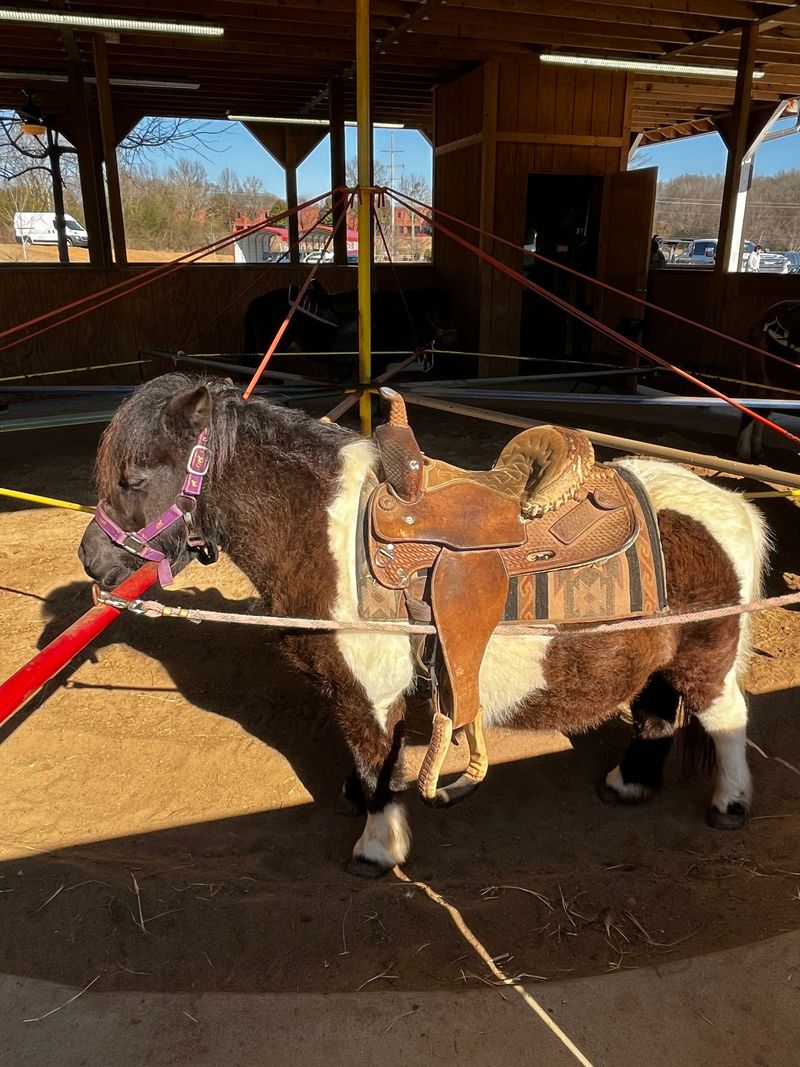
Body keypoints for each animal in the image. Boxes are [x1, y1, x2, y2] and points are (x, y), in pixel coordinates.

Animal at [79, 374, 769, 878]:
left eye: (135, 478)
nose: (93, 560)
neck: (323, 534)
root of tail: (735, 506)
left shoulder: (369, 691)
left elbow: (376, 761)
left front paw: (376, 847)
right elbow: (366, 760)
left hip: (708, 652)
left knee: (727, 715)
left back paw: (731, 803)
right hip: (657, 653)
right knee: (655, 710)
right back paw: (629, 783)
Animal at [736, 299, 800, 463]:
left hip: (775, 387)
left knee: (762, 413)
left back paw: (758, 451)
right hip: (757, 376)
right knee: (751, 410)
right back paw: (744, 452)